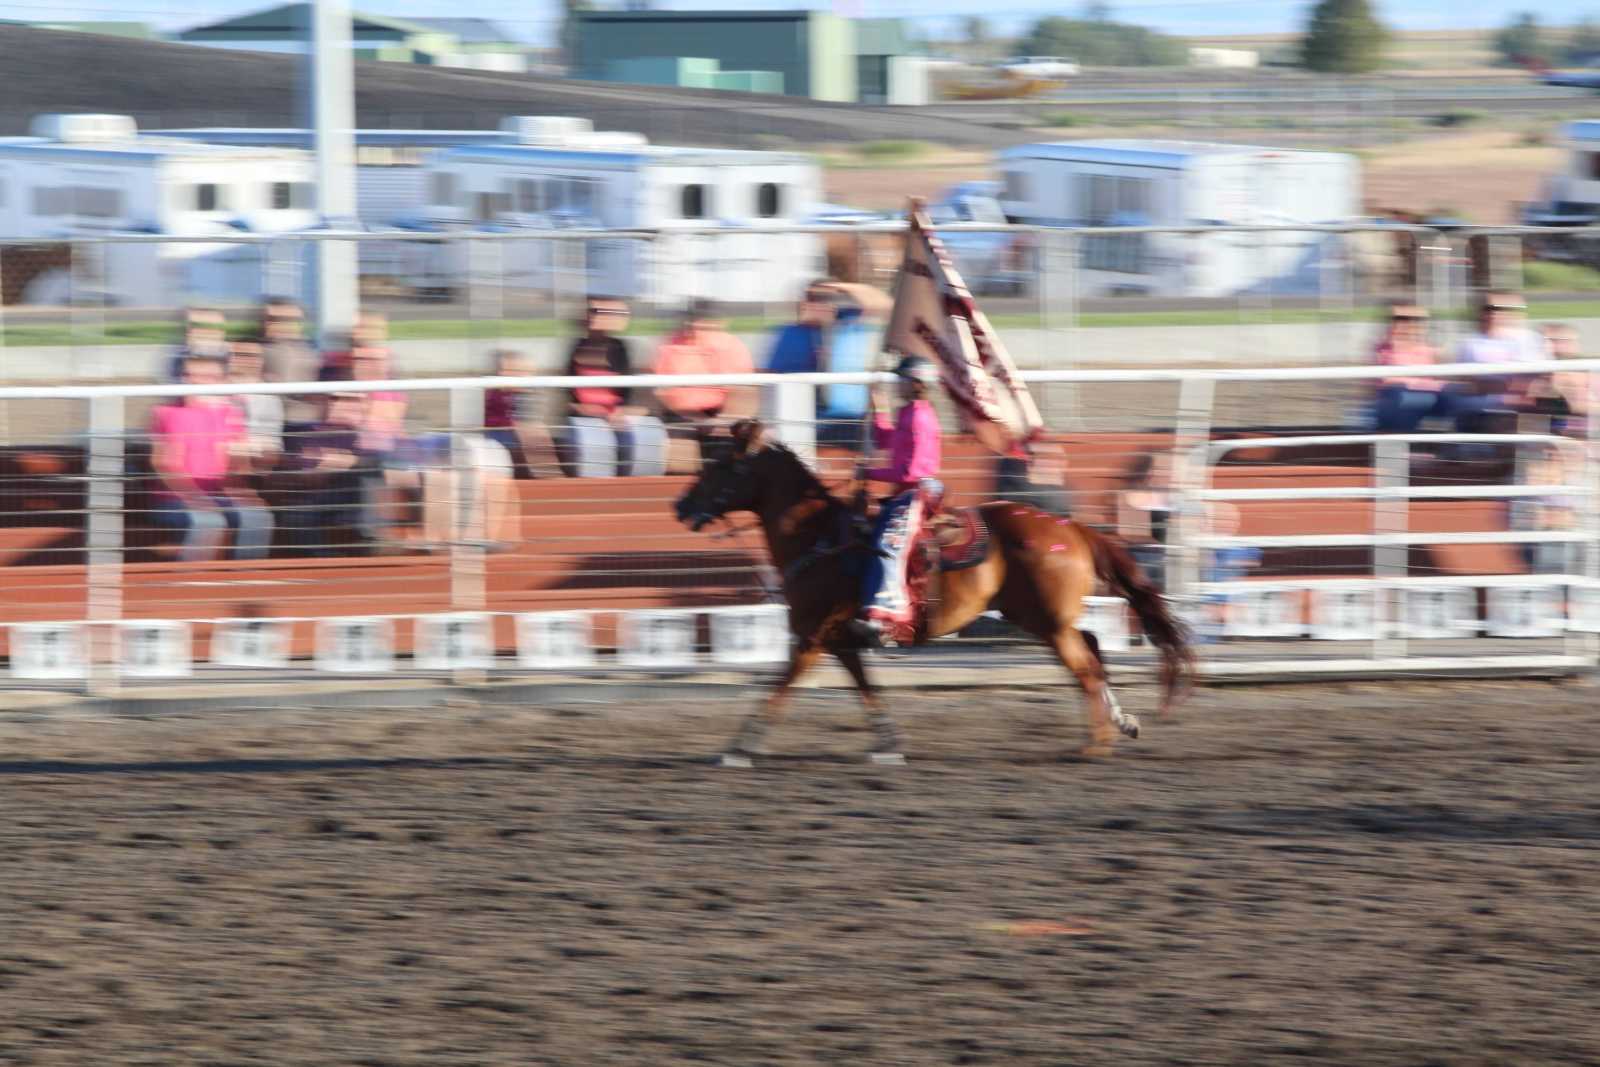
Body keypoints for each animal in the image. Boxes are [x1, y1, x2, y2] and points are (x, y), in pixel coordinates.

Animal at [673, 420, 1193, 766]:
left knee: (1085, 668)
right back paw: (1122, 723)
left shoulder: (812, 636)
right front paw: (888, 745)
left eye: (722, 465)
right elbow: (866, 688)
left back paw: (1095, 744)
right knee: (1093, 648)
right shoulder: (839, 639)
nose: (680, 506)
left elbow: (781, 685)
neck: (818, 537)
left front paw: (740, 746)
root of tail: (1072, 528)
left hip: (1045, 622)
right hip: (1042, 618)